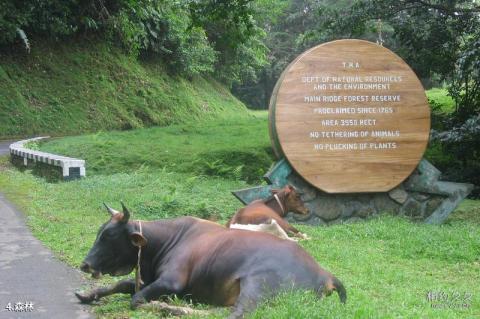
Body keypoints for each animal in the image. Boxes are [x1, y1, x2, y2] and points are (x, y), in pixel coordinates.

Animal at [76, 204, 344, 318]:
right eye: (100, 232)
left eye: (109, 236)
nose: (85, 264)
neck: (162, 242)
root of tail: (325, 274)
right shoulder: (148, 280)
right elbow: (121, 285)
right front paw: (89, 294)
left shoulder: (171, 282)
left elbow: (136, 299)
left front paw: (159, 303)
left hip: (257, 284)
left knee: (237, 314)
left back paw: (171, 308)